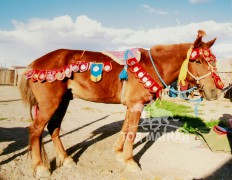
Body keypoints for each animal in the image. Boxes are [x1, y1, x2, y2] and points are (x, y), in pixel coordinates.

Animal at [19, 29, 223, 177]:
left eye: (214, 61)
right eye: (197, 60)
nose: (215, 92)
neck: (152, 65)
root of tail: (33, 64)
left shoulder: (131, 106)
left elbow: (125, 129)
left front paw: (118, 153)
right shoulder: (136, 105)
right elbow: (131, 132)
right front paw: (130, 161)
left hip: (63, 102)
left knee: (53, 128)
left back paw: (66, 159)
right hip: (50, 104)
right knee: (36, 130)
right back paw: (41, 167)